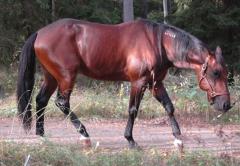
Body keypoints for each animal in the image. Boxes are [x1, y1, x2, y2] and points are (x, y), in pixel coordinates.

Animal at [16, 18, 231, 148]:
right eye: (216, 72)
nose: (226, 105)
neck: (158, 42)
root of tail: (40, 32)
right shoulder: (139, 82)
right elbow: (133, 110)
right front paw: (130, 139)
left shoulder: (156, 84)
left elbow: (169, 107)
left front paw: (178, 138)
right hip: (66, 77)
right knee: (62, 103)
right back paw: (84, 134)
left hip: (52, 76)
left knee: (41, 100)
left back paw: (41, 135)